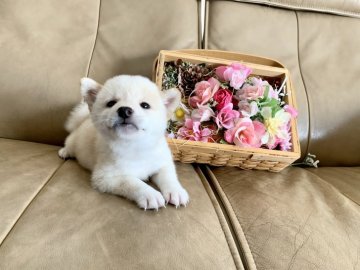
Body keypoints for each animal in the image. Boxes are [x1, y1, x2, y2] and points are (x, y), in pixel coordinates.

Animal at [59, 75, 188, 210]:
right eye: (111, 103)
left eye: (145, 105)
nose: (124, 110)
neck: (135, 146)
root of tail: (84, 120)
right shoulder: (106, 177)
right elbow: (133, 182)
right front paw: (150, 194)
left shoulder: (162, 162)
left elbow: (168, 177)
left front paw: (176, 191)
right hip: (73, 141)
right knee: (69, 143)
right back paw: (65, 152)